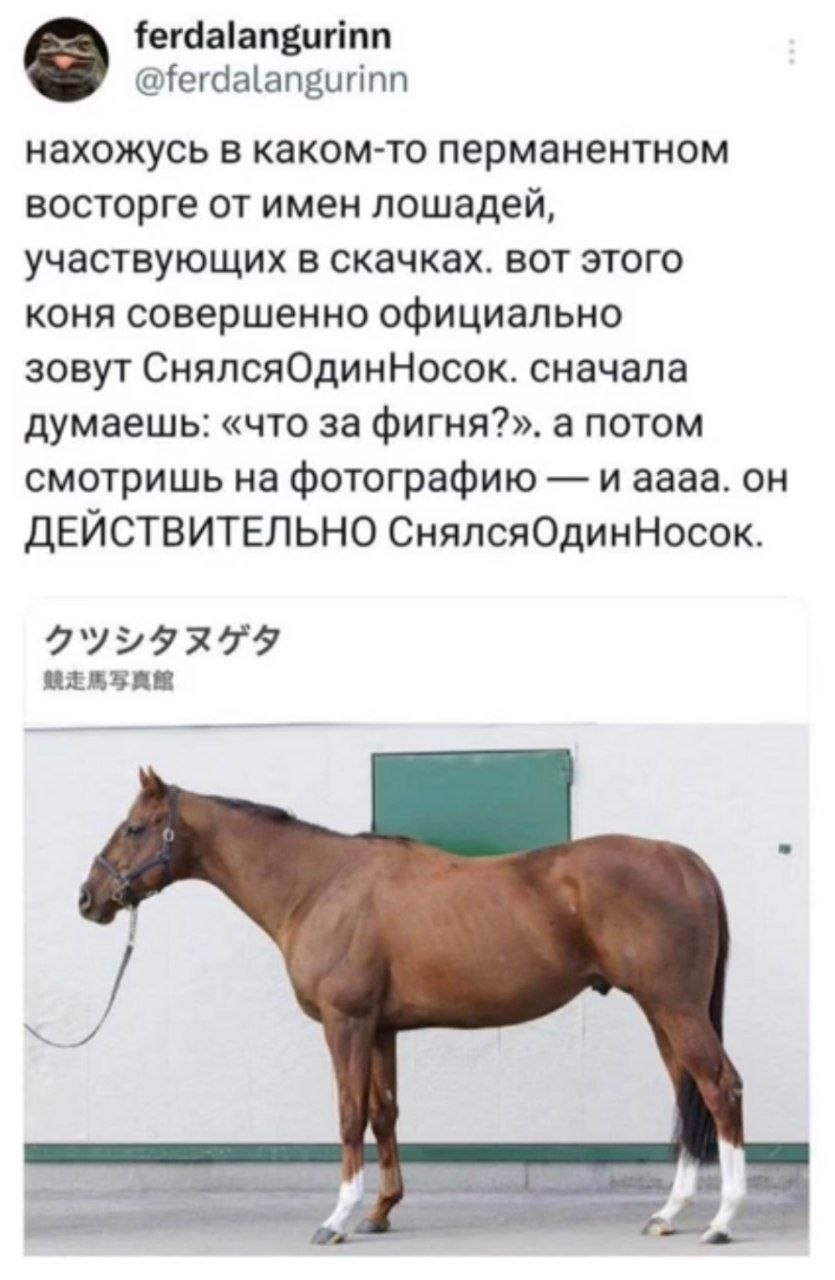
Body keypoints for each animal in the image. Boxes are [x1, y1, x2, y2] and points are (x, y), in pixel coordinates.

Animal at [77, 767, 746, 1245]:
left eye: (134, 828)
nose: (90, 898)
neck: (320, 886)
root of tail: (686, 861)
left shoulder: (345, 1023)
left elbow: (349, 1116)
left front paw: (337, 1219)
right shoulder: (380, 1028)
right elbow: (384, 1114)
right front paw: (380, 1211)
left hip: (674, 1006)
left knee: (719, 1088)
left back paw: (721, 1220)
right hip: (661, 1011)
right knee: (688, 1093)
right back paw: (669, 1212)